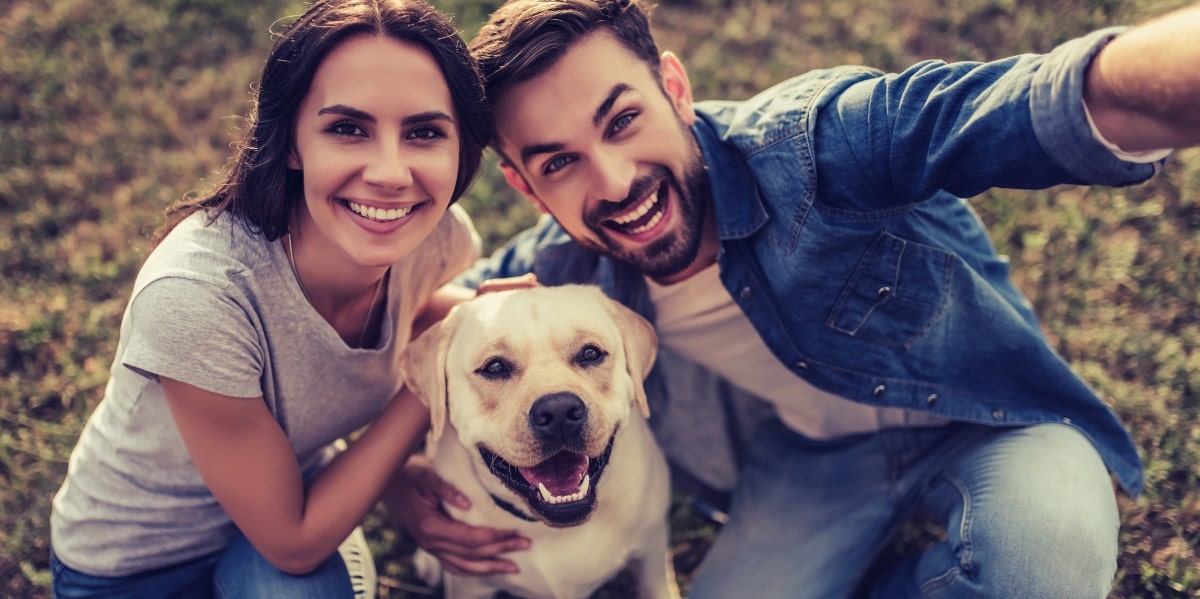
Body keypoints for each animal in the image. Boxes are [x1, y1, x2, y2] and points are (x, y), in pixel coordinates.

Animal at [400, 284, 676, 599]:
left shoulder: (652, 551)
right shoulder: (469, 586)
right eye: (494, 367)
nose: (559, 413)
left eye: (591, 353)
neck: (550, 531)